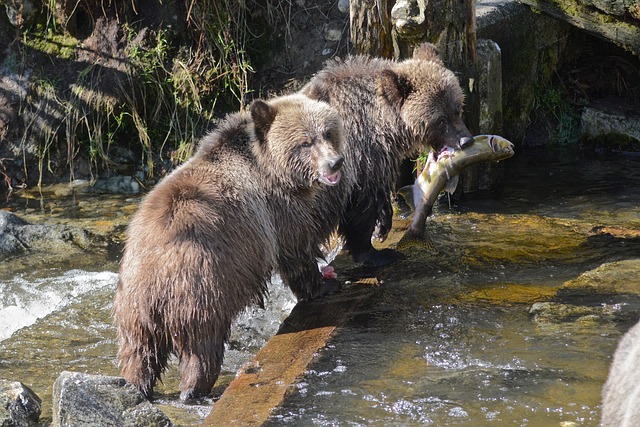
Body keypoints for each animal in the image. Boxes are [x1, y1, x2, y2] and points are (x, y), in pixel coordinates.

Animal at [114, 93, 344, 402]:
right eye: (305, 142)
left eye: (329, 133)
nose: (335, 163)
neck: (269, 166)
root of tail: (153, 278)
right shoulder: (277, 211)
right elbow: (296, 251)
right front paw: (324, 284)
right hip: (201, 288)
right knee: (203, 346)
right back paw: (194, 389)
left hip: (133, 309)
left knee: (139, 353)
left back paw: (136, 386)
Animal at [302, 41, 476, 266]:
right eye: (441, 119)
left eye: (457, 108)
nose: (466, 140)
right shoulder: (361, 157)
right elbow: (362, 205)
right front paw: (376, 252)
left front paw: (383, 225)